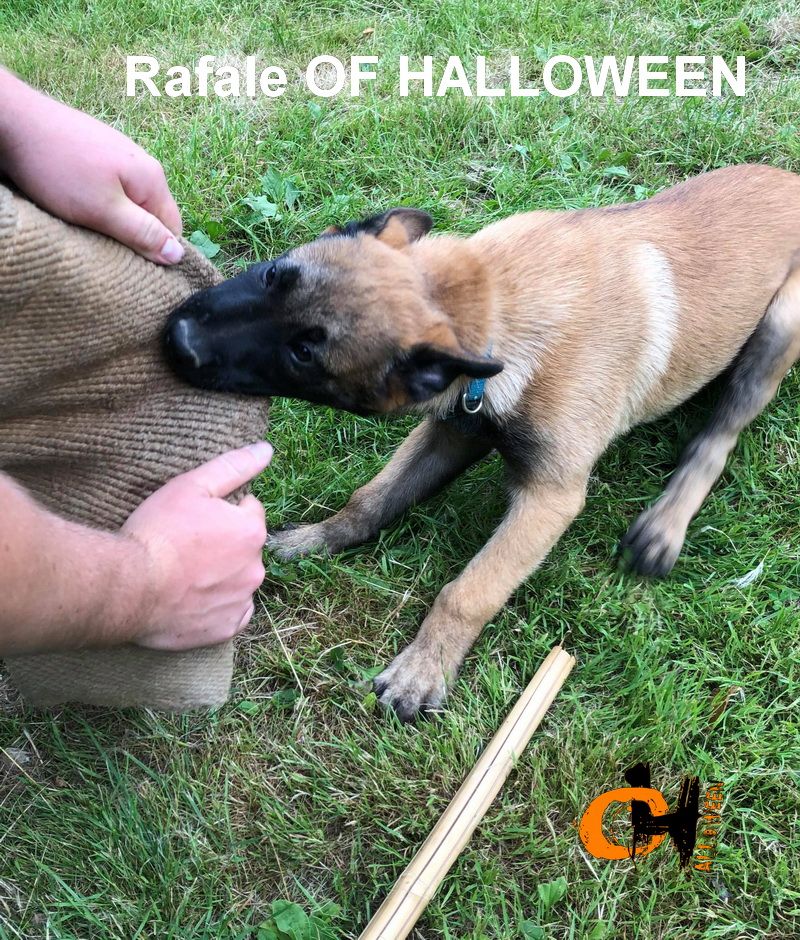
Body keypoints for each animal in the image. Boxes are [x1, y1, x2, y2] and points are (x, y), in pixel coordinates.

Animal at [164, 164, 800, 720]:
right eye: (273, 274)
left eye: (304, 354)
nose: (178, 338)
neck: (496, 302)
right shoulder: (449, 430)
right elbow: (371, 500)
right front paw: (315, 539)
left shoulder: (550, 497)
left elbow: (470, 590)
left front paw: (422, 671)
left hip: (776, 331)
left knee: (718, 436)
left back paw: (664, 526)